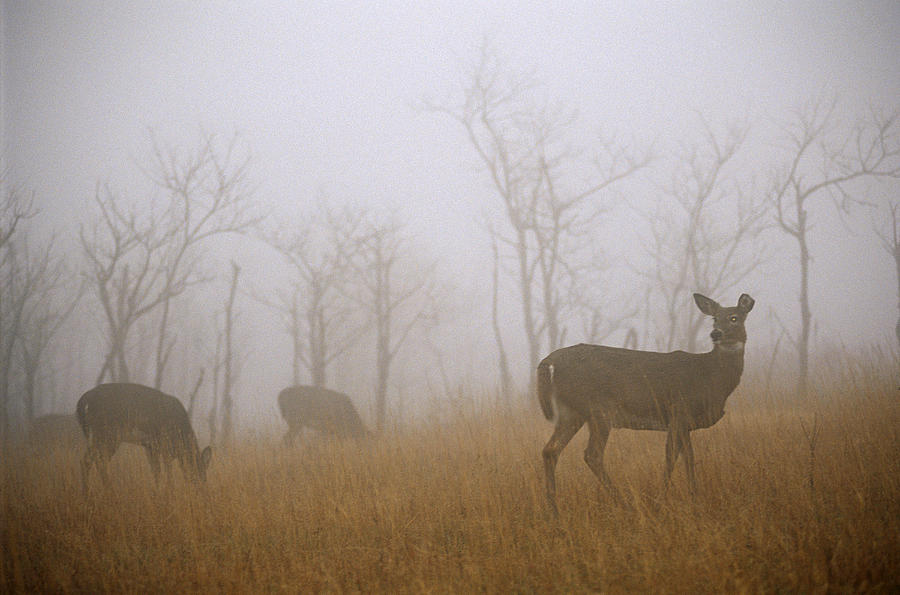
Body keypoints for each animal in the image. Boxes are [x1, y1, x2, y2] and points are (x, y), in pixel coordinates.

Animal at [75, 382, 213, 494]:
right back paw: (107, 490)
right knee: (94, 461)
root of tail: (87, 397)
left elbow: (156, 471)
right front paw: (169, 491)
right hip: (107, 433)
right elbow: (167, 471)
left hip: (103, 435)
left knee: (93, 461)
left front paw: (157, 491)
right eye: (198, 471)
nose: (202, 488)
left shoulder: (150, 446)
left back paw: (88, 492)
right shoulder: (164, 444)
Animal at [536, 292, 756, 512]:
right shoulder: (678, 410)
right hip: (597, 409)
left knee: (550, 451)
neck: (711, 377)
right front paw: (663, 500)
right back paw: (624, 503)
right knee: (592, 455)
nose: (716, 334)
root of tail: (549, 361)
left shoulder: (684, 423)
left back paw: (553, 508)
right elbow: (673, 456)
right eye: (714, 318)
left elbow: (686, 457)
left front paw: (692, 496)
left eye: (734, 318)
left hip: (571, 412)